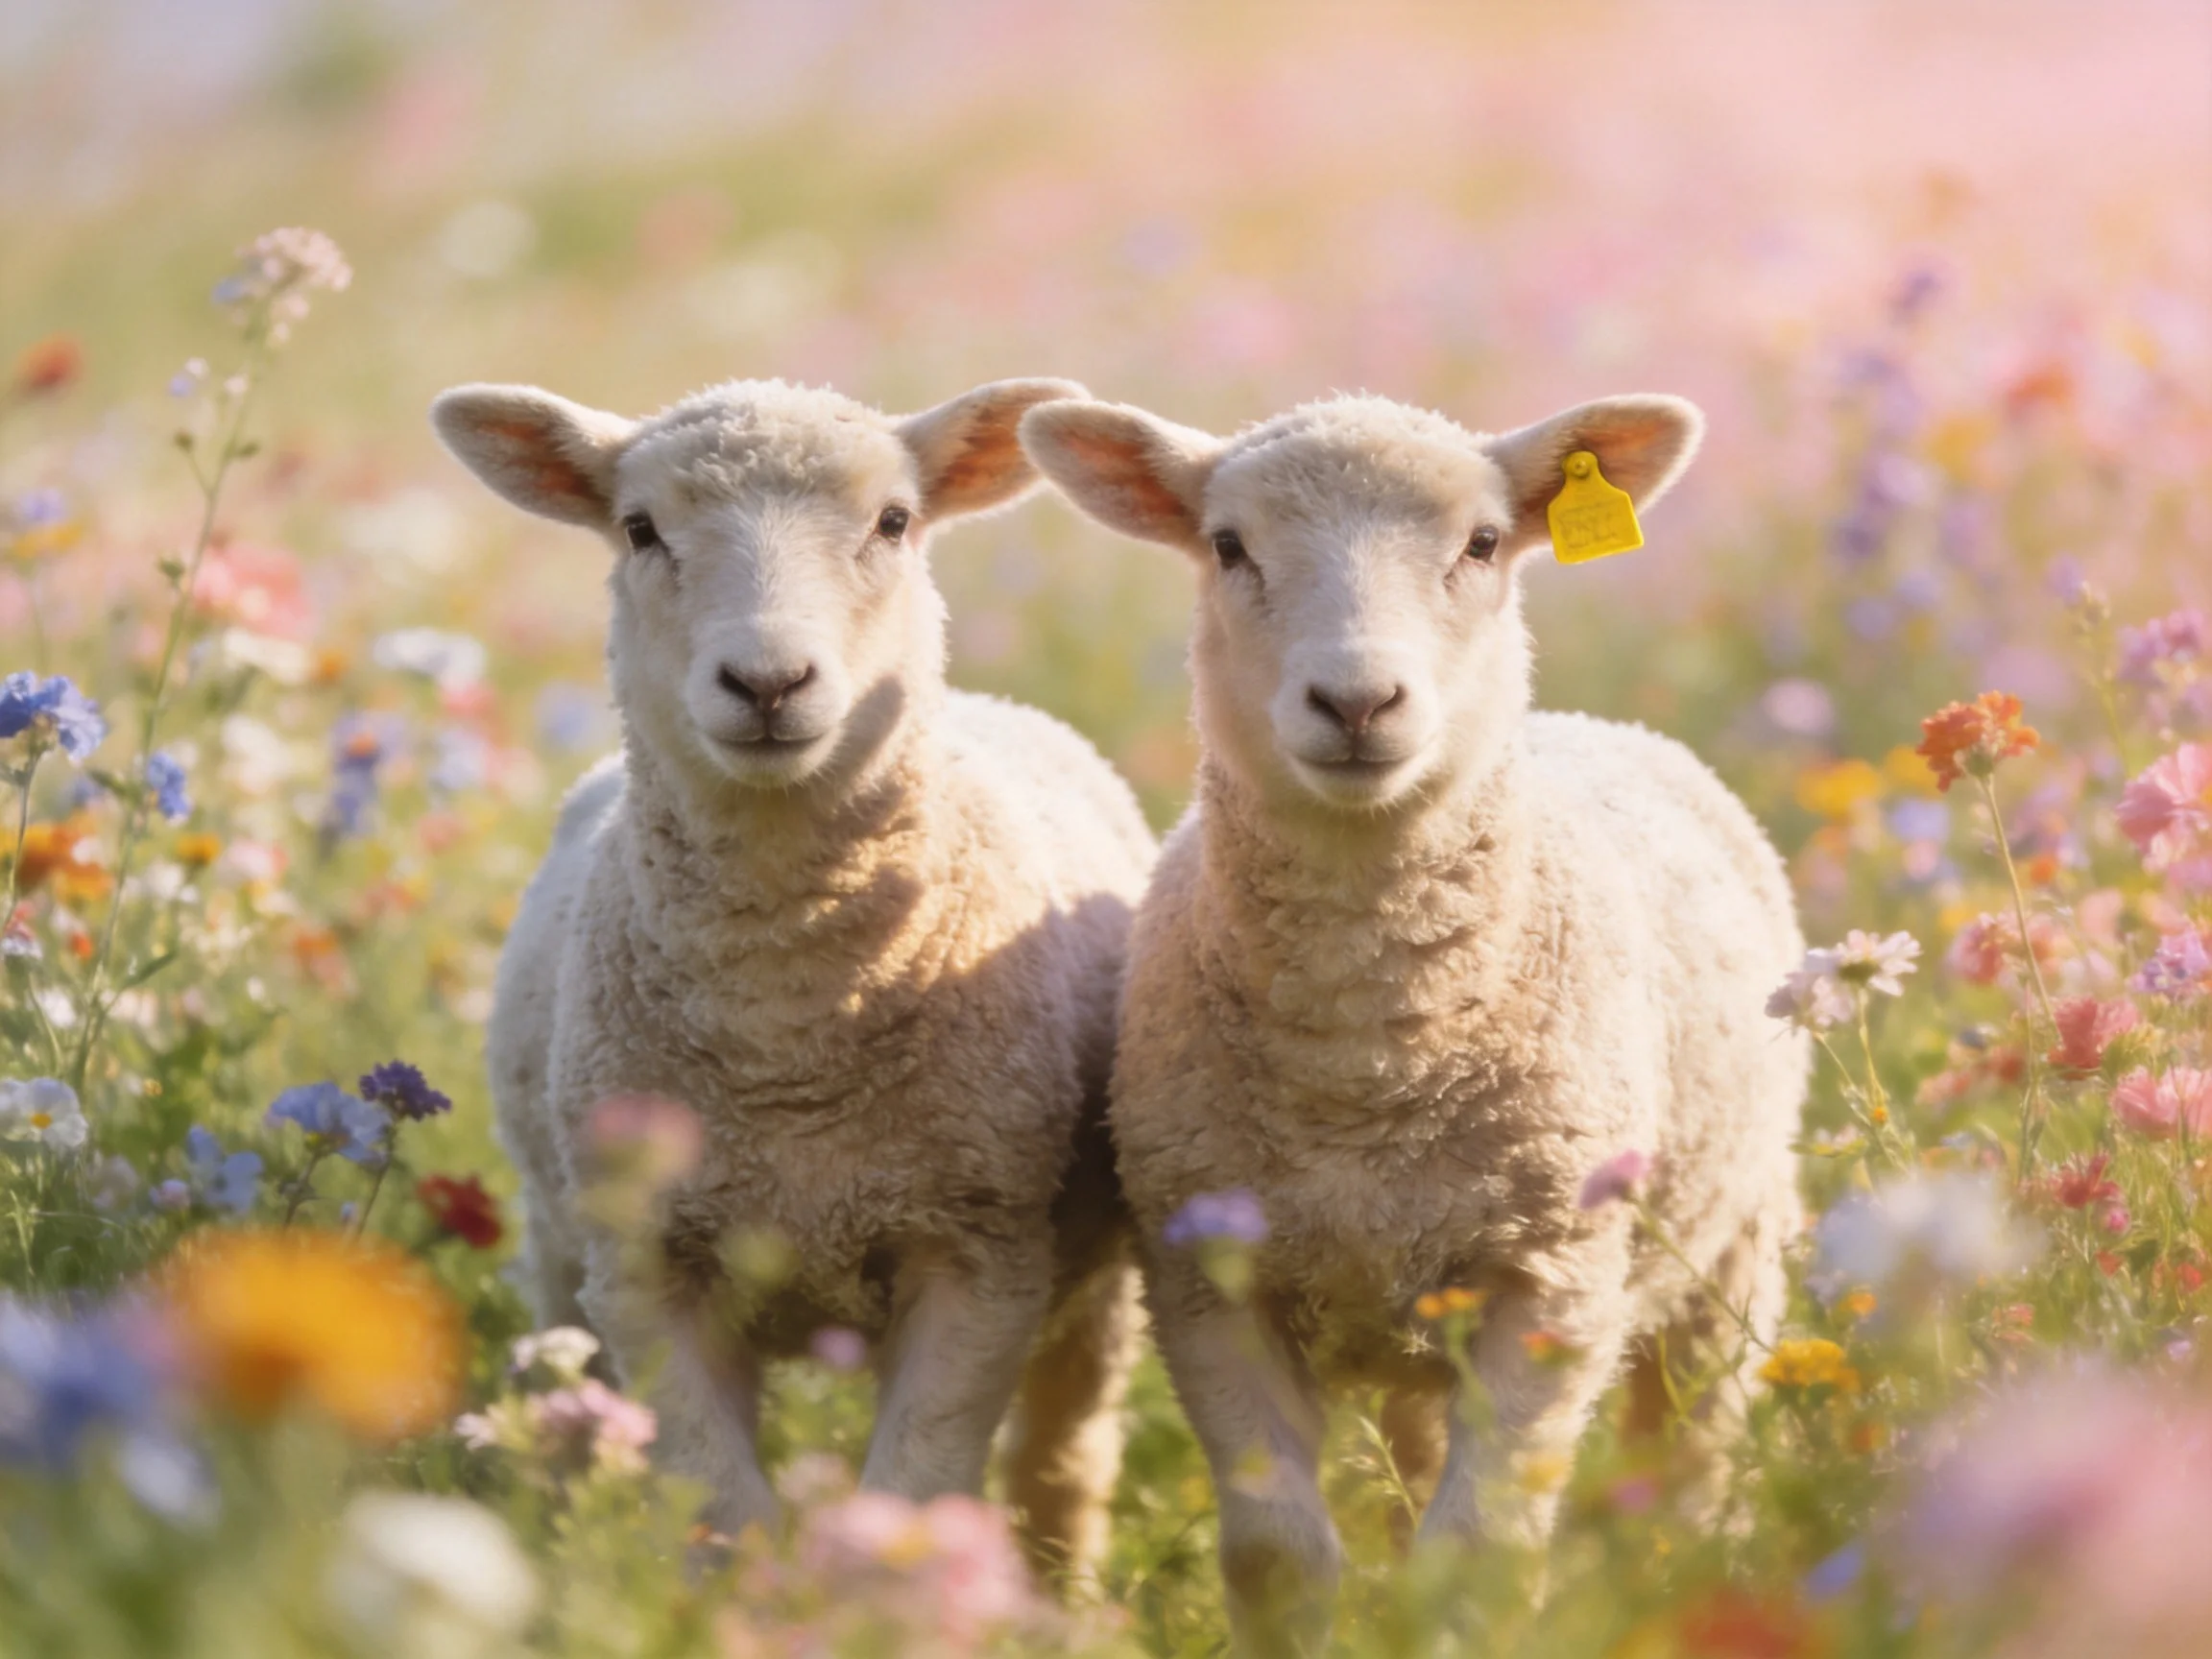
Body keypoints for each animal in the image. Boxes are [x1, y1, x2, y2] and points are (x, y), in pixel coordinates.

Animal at [431, 376, 1156, 1582]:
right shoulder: (646, 1268)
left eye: (894, 522)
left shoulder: (982, 1254)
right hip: (557, 1241)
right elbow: (719, 1509)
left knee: (1067, 1452)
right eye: (641, 529)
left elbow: (913, 1492)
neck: (790, 1043)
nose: (768, 682)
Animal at [1021, 391, 1807, 1649]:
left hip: (1730, 1244)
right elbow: (1277, 1556)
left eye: (1483, 543)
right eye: (1228, 547)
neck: (1369, 1065)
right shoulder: (1207, 1280)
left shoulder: (1553, 1276)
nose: (1357, 702)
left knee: (1690, 1460)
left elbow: (1483, 1554)